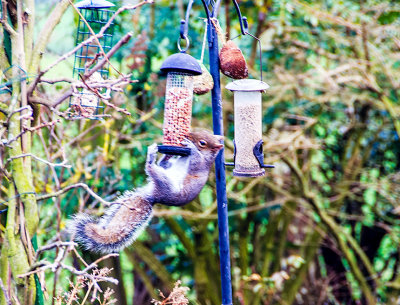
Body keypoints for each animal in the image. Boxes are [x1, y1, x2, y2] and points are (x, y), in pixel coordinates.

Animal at [69, 129, 225, 253]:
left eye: (202, 142)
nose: (188, 135)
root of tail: (153, 196)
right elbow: (165, 164)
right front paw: (167, 155)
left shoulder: (200, 165)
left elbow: (196, 159)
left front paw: (191, 147)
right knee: (160, 167)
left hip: (167, 184)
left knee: (151, 169)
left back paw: (150, 159)